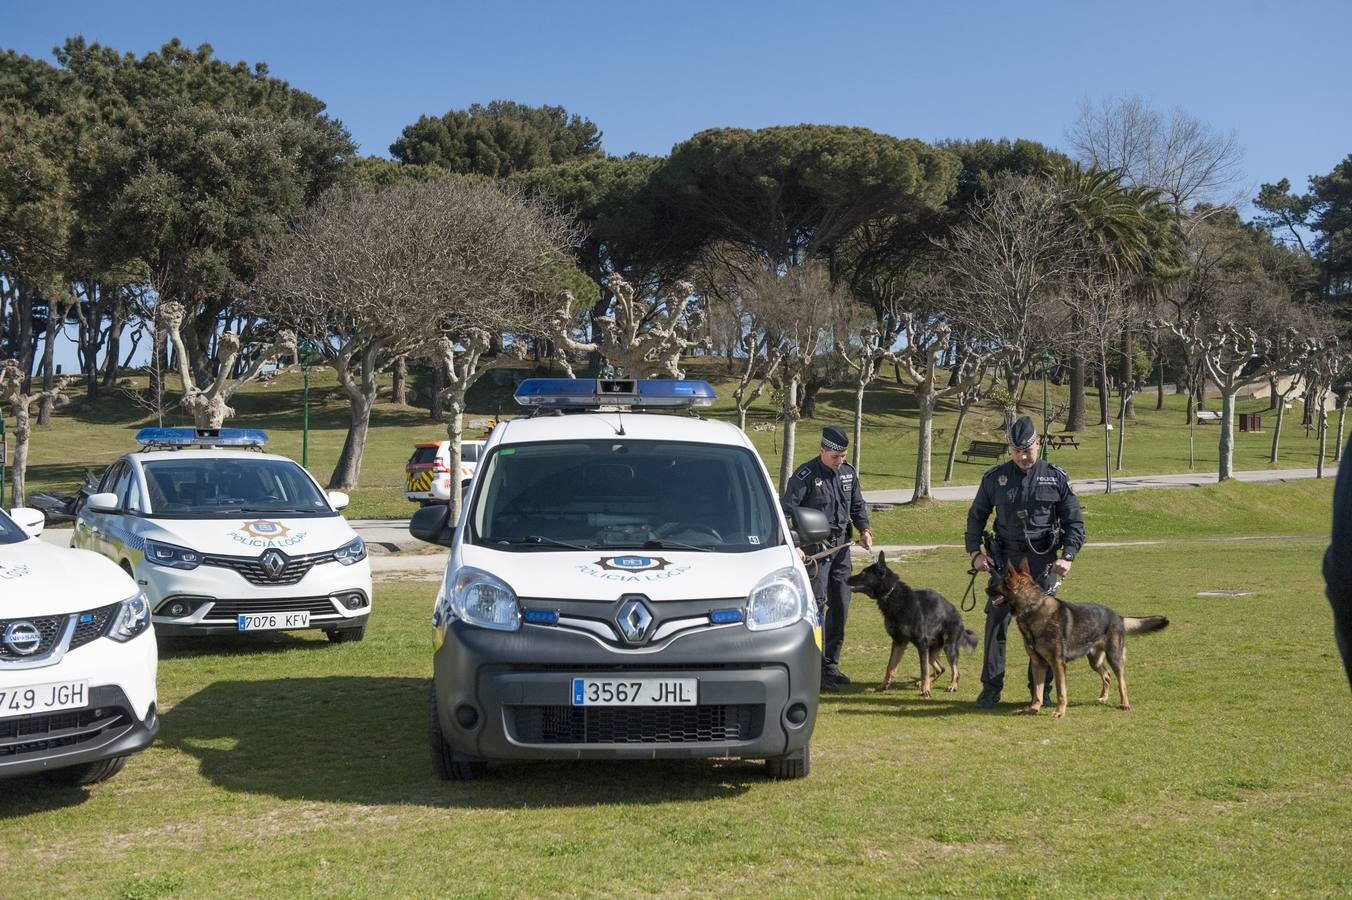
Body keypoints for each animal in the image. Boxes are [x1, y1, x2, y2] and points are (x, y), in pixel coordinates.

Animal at [849, 545, 978, 691]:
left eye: (864, 573)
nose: (847, 578)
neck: (891, 594)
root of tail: (957, 614)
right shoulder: (899, 642)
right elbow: (890, 666)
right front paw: (884, 684)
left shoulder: (920, 643)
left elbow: (923, 669)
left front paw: (926, 690)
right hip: (931, 651)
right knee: (941, 668)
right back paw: (922, 683)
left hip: (947, 647)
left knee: (954, 669)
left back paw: (952, 685)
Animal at [1000, 556, 1168, 718]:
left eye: (998, 585)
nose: (989, 587)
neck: (1032, 607)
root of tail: (1119, 617)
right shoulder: (1038, 663)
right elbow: (1037, 692)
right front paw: (1033, 709)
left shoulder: (1057, 663)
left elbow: (1061, 691)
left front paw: (1060, 712)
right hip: (1095, 661)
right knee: (1106, 675)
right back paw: (1103, 697)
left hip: (1114, 658)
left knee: (1122, 682)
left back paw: (1125, 704)